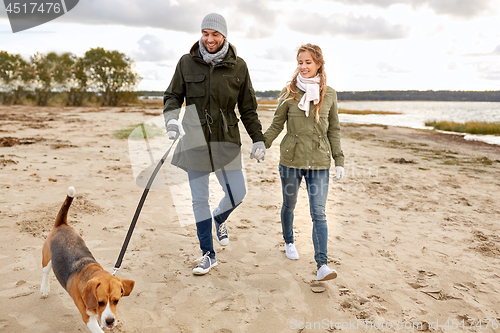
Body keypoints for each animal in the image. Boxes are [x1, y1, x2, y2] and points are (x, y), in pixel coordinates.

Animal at [41, 187, 135, 332]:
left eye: (116, 301)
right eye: (100, 302)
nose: (110, 321)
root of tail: (61, 224)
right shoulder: (87, 317)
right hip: (47, 258)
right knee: (45, 272)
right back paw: (44, 289)